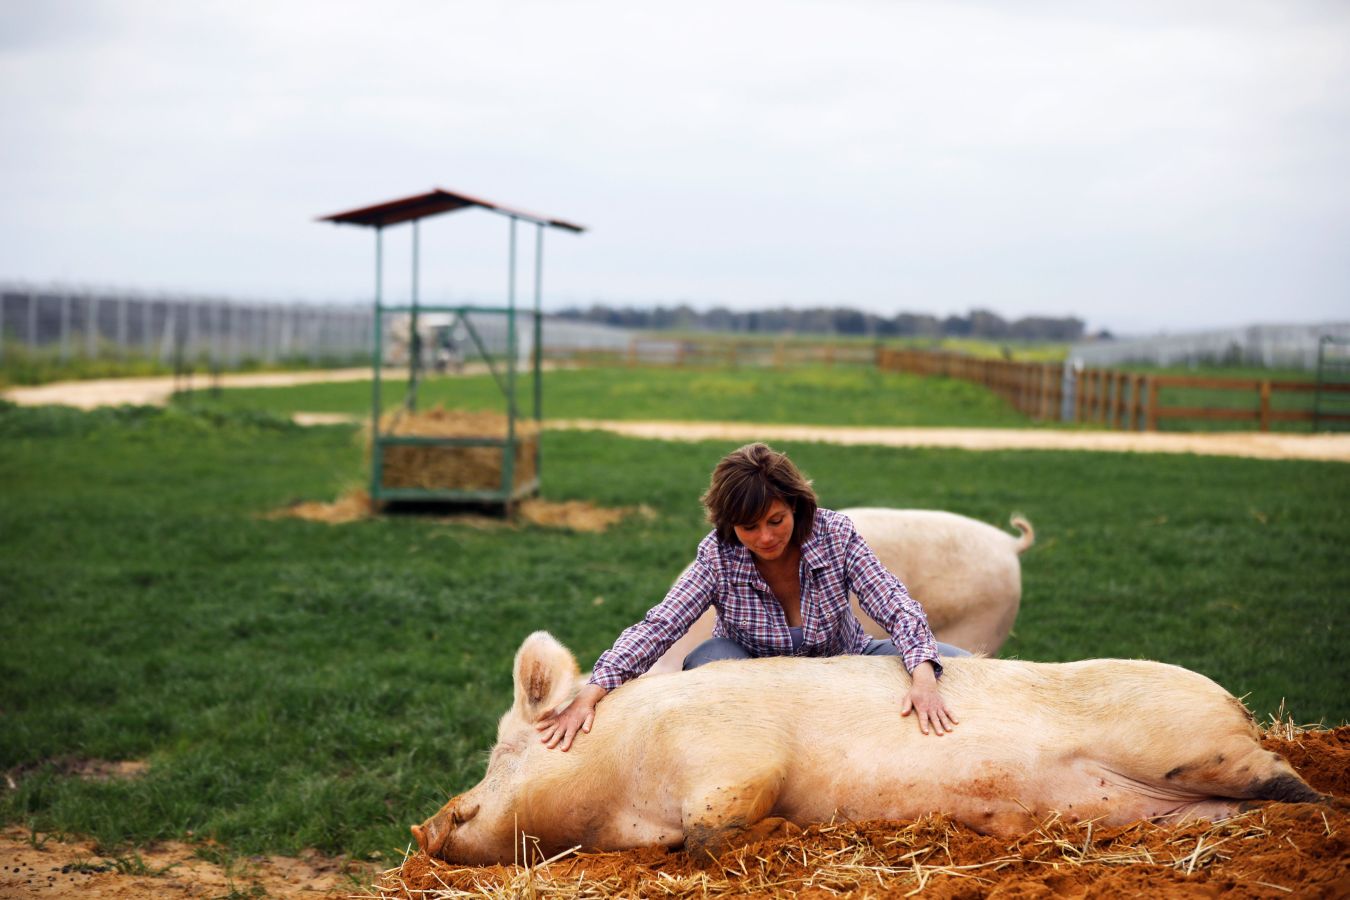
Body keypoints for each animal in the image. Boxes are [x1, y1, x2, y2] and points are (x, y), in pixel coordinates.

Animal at [407, 631, 1317, 863]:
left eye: (504, 749)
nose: (425, 824)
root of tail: (1238, 707)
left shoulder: (734, 752)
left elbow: (722, 816)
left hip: (1190, 742)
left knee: (1280, 775)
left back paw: (1312, 800)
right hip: (1170, 806)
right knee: (1225, 813)